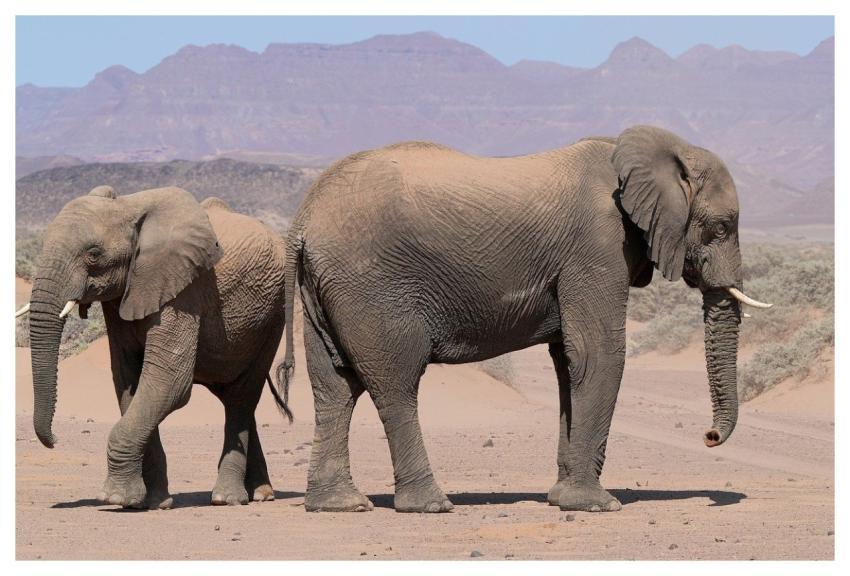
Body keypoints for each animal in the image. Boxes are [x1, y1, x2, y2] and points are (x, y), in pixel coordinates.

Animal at [18, 186, 291, 509]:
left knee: (242, 397)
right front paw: (152, 503)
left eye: (94, 255)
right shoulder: (124, 294)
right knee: (232, 396)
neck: (129, 207)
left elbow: (169, 382)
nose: (55, 440)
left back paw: (228, 498)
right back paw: (261, 493)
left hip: (274, 315)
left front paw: (115, 497)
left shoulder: (184, 291)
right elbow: (129, 382)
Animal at [278, 125, 772, 513]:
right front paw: (594, 504)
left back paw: (339, 504)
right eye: (722, 227)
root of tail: (301, 221)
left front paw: (562, 497)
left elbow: (568, 361)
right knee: (395, 383)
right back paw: (430, 505)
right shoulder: (598, 246)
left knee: (334, 387)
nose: (709, 436)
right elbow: (597, 353)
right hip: (372, 288)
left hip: (326, 289)